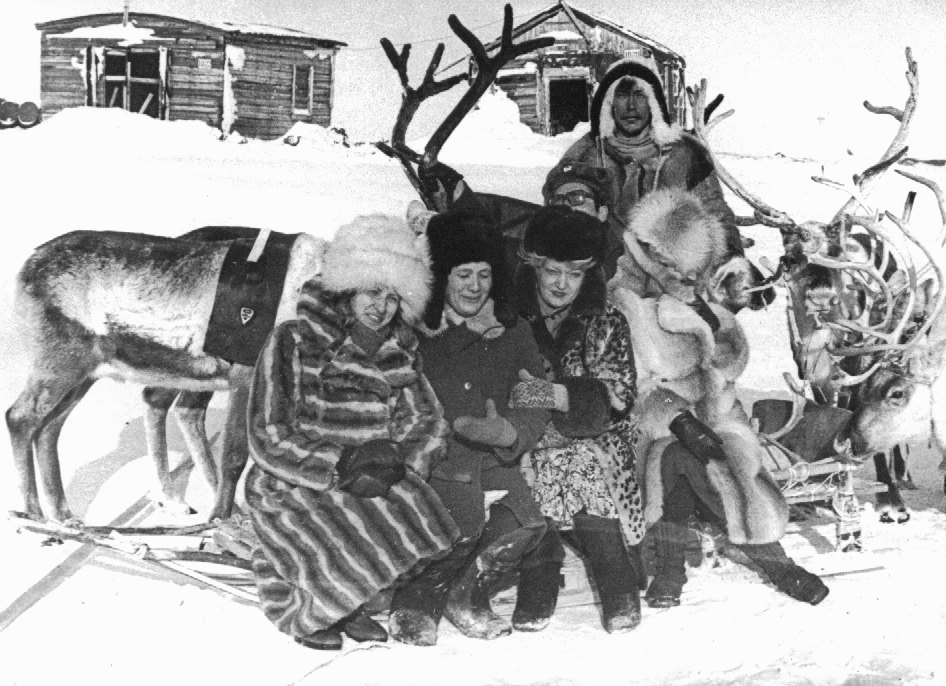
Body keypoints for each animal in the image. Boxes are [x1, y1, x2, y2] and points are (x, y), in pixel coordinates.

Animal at [5, 5, 554, 526]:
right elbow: (236, 458)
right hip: (61, 357)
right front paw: (220, 521)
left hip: (89, 367)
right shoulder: (249, 370)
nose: (510, 289)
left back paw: (68, 515)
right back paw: (34, 513)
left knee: (53, 427)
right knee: (21, 417)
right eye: (464, 227)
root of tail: (24, 268)